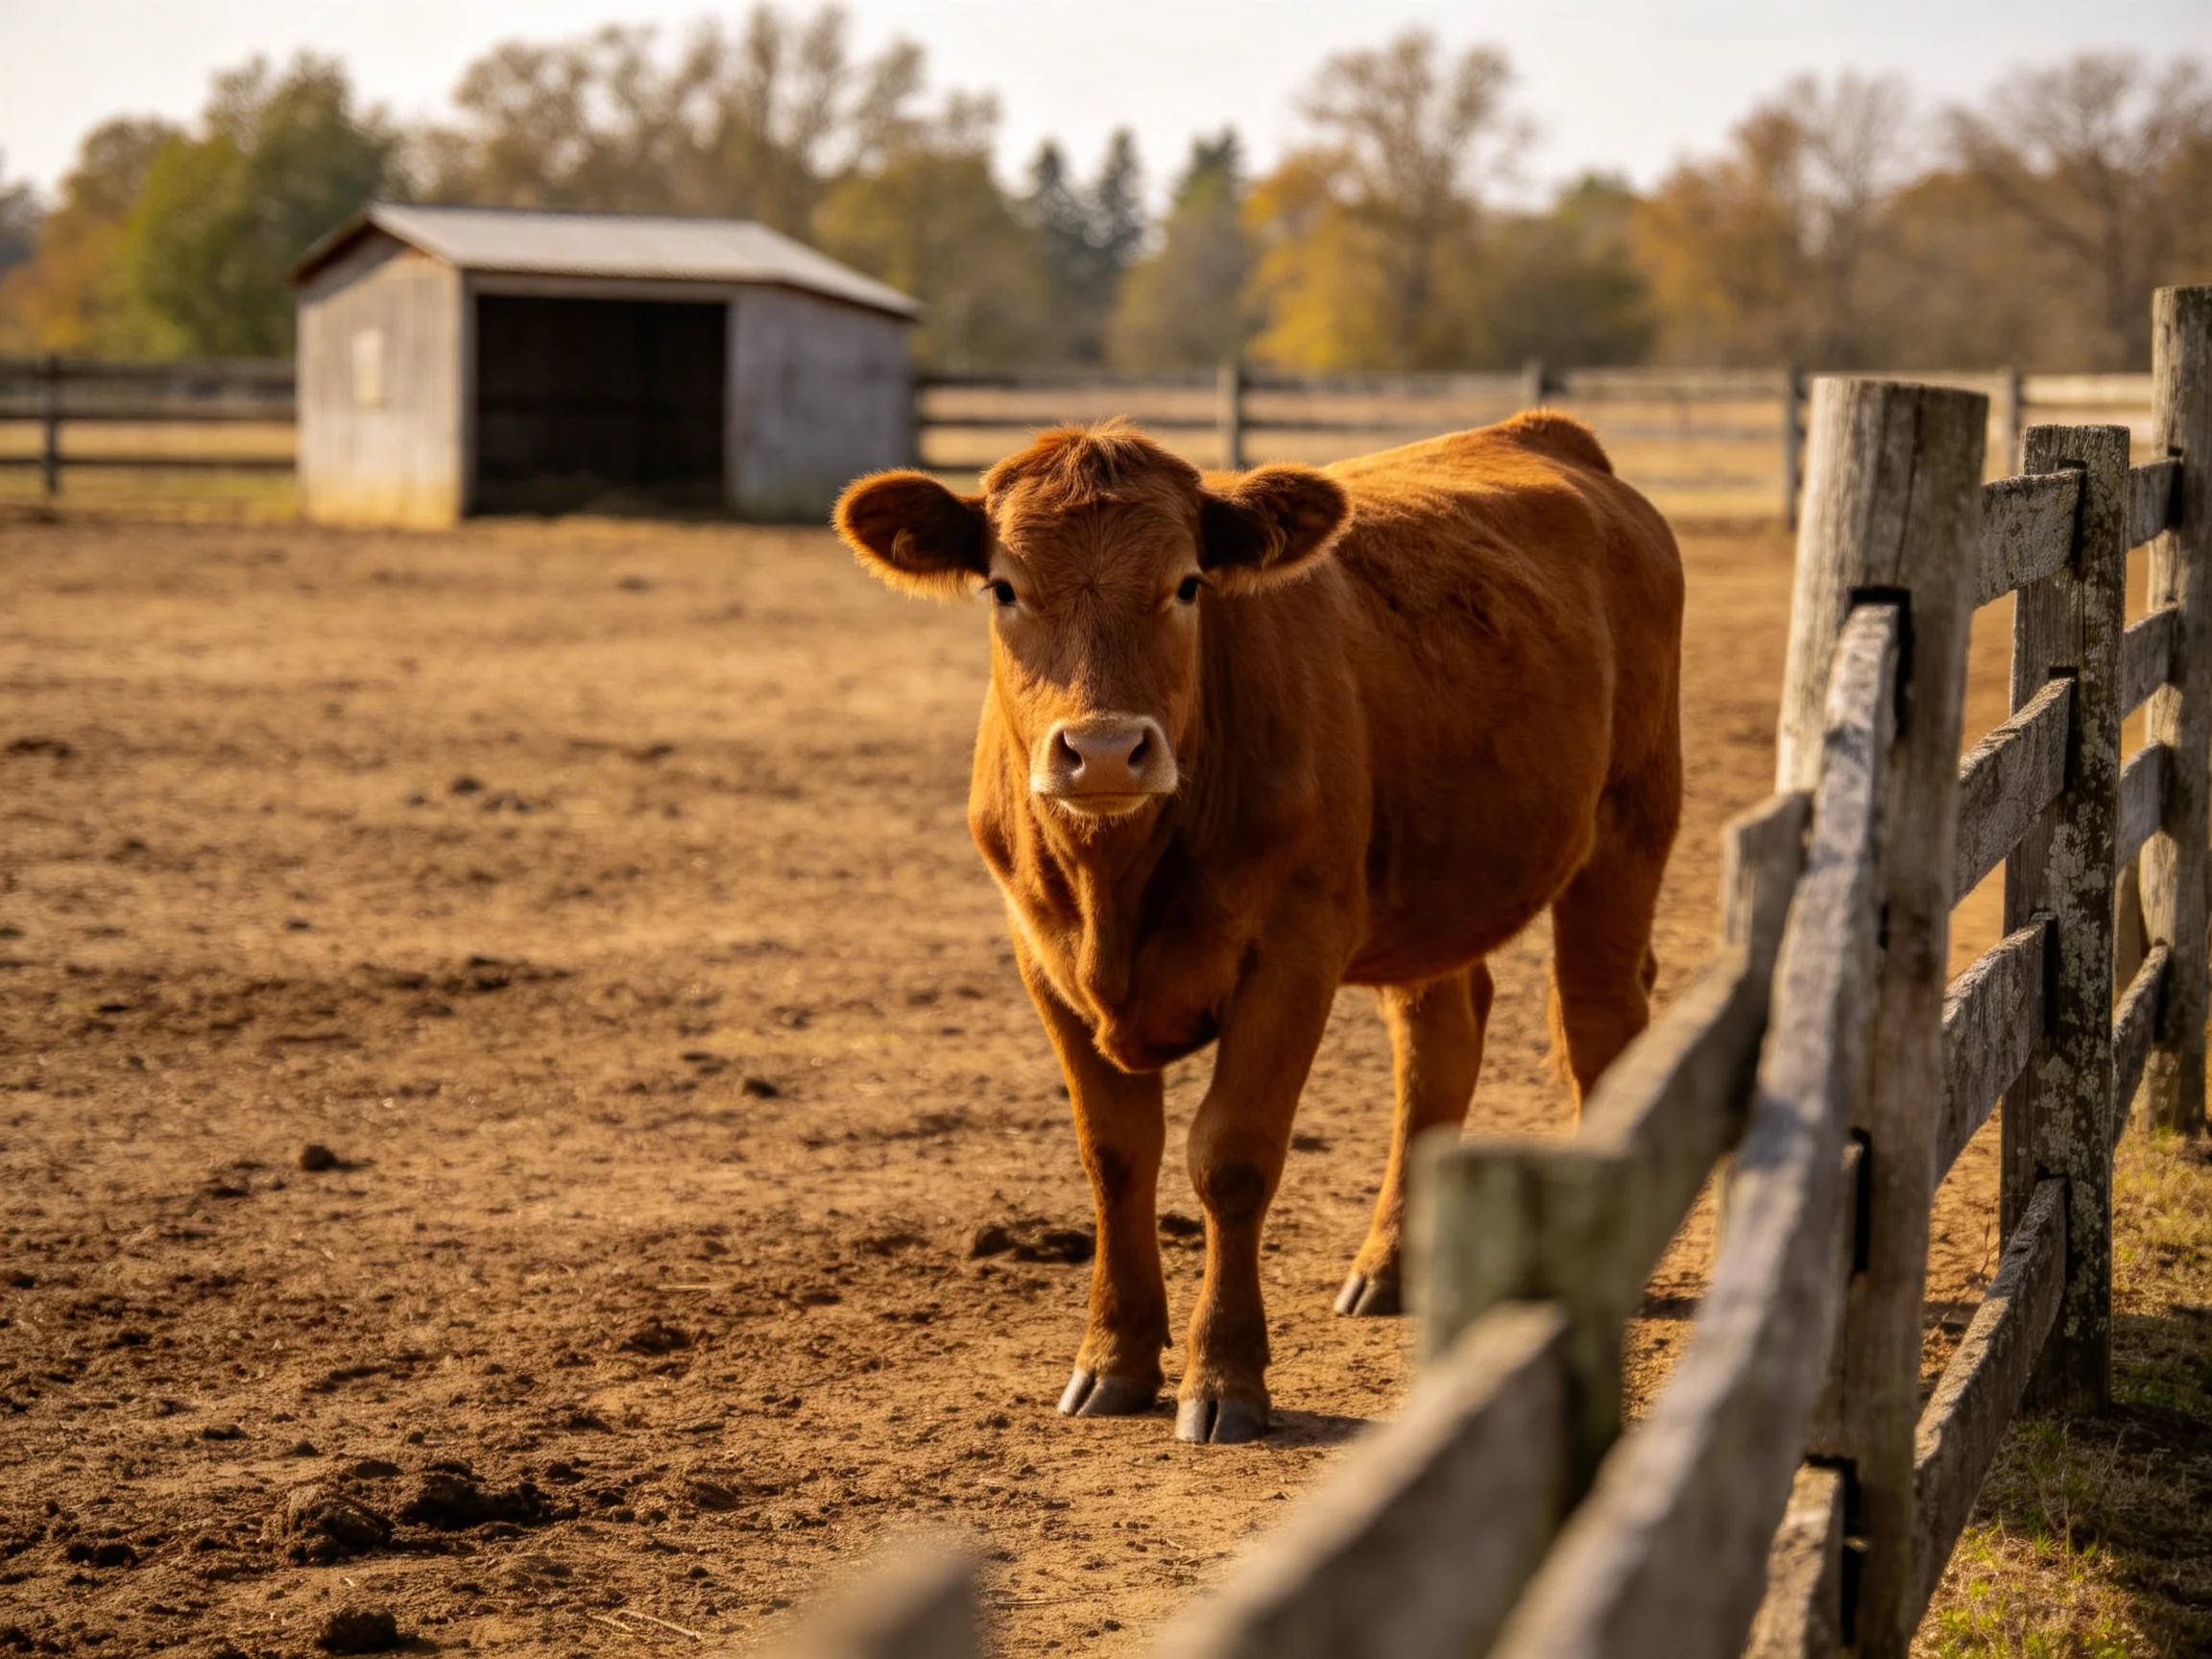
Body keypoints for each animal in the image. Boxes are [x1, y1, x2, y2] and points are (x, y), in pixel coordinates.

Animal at [833, 413, 1682, 1443]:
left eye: (1187, 584)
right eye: (1004, 587)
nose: (1105, 750)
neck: (1116, 884)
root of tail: (1548, 438)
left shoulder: (1293, 950)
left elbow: (1231, 1159)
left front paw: (1225, 1375)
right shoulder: (1043, 959)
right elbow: (1115, 1157)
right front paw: (1112, 1359)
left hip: (1631, 819)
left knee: (1599, 1021)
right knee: (1438, 1044)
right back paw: (1388, 1265)